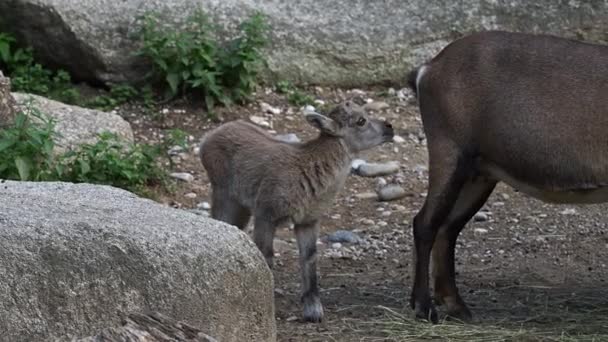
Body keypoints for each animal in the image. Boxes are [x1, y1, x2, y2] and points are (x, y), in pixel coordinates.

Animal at [201, 100, 394, 322]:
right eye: (361, 121)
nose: (390, 127)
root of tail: (208, 139)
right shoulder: (266, 213)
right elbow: (266, 254)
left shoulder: (308, 219)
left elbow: (309, 257)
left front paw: (313, 310)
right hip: (224, 194)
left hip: (241, 206)